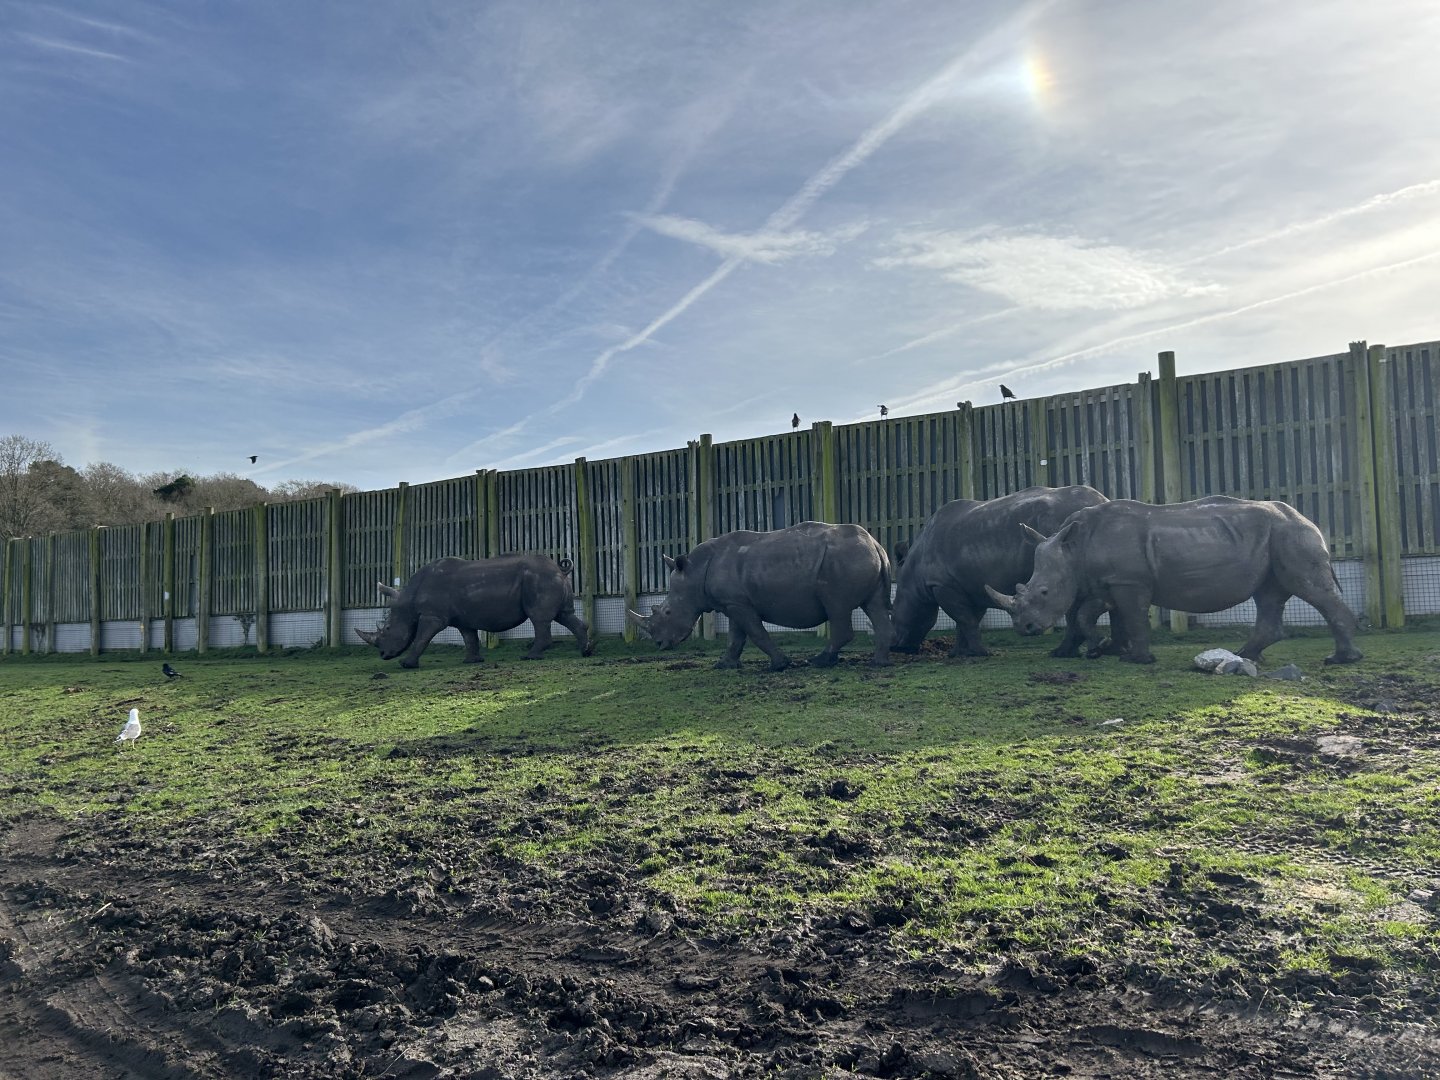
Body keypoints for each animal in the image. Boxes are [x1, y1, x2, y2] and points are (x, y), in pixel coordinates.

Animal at [356, 555, 592, 668]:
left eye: (387, 628)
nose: (383, 655)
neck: (408, 601)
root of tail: (559, 568)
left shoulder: (433, 616)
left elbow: (422, 638)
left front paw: (406, 665)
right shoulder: (463, 618)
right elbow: (469, 637)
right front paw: (472, 661)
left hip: (540, 579)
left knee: (539, 619)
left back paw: (530, 657)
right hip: (548, 579)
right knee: (565, 615)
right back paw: (586, 652)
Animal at [628, 521, 893, 671]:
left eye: (667, 612)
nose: (659, 645)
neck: (694, 572)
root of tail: (876, 544)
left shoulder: (737, 604)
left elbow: (756, 633)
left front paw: (780, 665)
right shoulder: (734, 602)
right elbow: (736, 636)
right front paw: (724, 666)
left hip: (841, 562)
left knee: (837, 607)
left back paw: (820, 661)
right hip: (859, 557)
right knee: (875, 607)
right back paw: (878, 663)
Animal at [891, 485, 1113, 658]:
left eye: (892, 612)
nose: (896, 647)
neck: (912, 576)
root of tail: (1103, 499)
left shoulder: (943, 584)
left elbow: (965, 620)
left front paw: (980, 653)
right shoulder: (970, 587)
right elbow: (966, 621)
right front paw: (959, 654)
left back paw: (1062, 653)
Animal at [985, 496, 1363, 666]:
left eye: (1044, 592)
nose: (1025, 629)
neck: (1075, 548)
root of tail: (1308, 518)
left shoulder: (1129, 582)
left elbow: (1133, 618)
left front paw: (1136, 660)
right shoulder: (1112, 582)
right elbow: (1094, 615)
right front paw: (1106, 649)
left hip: (1292, 536)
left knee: (1308, 590)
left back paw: (1341, 660)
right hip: (1278, 538)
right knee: (1268, 595)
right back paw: (1246, 655)